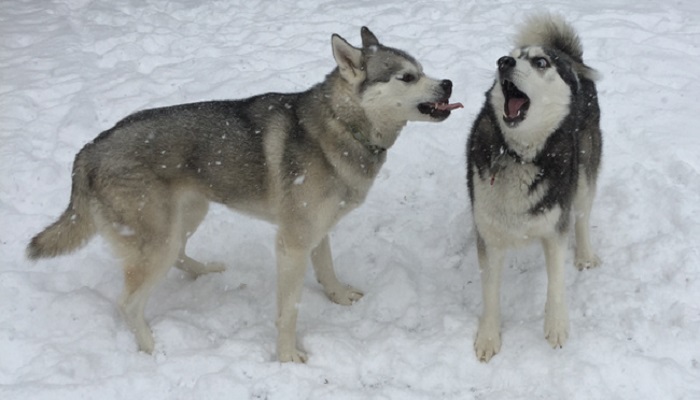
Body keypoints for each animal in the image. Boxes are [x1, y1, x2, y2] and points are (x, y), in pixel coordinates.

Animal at [27, 27, 462, 362]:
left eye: (423, 70)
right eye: (406, 77)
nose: (448, 83)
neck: (343, 126)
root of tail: (87, 151)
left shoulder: (316, 230)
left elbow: (327, 270)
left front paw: (337, 297)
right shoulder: (292, 243)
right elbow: (288, 311)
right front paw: (286, 357)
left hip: (188, 215)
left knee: (180, 255)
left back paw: (204, 271)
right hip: (158, 238)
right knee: (129, 303)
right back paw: (153, 350)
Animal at [464, 14, 600, 362]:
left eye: (540, 62)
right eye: (508, 56)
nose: (504, 62)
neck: (519, 155)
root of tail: (570, 56)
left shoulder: (555, 227)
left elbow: (557, 281)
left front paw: (556, 326)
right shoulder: (489, 233)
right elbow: (490, 291)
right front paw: (489, 336)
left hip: (583, 174)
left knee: (583, 215)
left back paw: (586, 254)